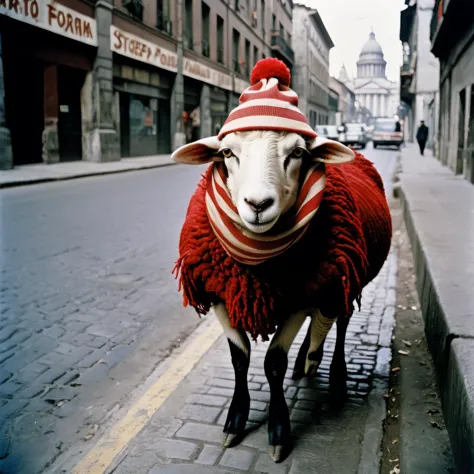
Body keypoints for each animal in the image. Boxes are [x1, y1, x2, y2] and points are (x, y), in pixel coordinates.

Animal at [170, 57, 392, 462]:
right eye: (227, 153)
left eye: (298, 153)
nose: (257, 204)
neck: (259, 260)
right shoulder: (220, 294)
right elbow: (240, 357)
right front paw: (235, 420)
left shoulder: (302, 295)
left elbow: (273, 362)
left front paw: (278, 430)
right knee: (323, 322)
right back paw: (308, 360)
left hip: (341, 277)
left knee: (339, 322)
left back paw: (334, 378)